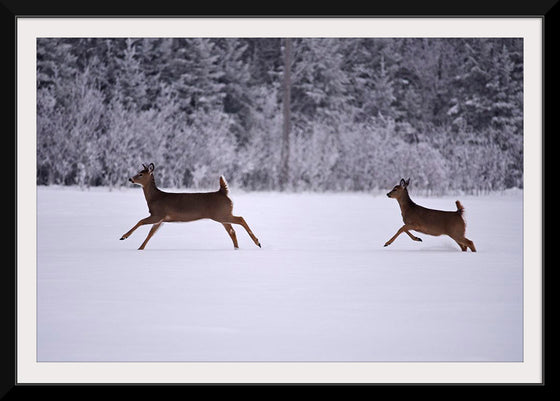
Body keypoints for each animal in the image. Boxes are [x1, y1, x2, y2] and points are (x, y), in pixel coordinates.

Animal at [118, 162, 262, 250]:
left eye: (140, 174)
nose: (130, 179)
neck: (154, 198)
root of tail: (223, 192)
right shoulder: (161, 219)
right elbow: (151, 233)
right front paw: (140, 248)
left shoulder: (158, 214)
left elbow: (141, 221)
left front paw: (124, 236)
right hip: (222, 215)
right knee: (232, 230)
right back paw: (237, 248)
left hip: (221, 214)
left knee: (241, 219)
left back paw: (258, 242)